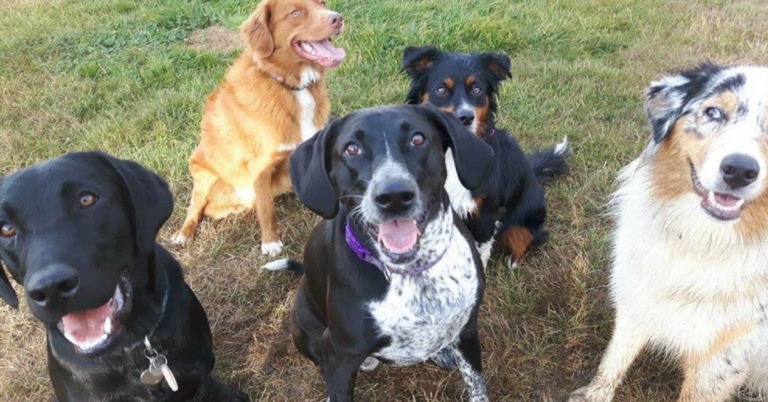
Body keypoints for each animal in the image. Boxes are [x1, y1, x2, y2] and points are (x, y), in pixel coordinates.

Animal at [171, 0, 346, 256]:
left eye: (322, 3)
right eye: (295, 12)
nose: (338, 18)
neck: (290, 86)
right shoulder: (260, 166)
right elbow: (266, 209)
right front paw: (270, 242)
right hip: (203, 174)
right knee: (194, 207)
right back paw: (184, 234)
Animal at [264, 104, 495, 401]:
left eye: (418, 139)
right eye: (351, 148)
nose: (394, 196)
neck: (413, 273)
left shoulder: (467, 331)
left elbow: (477, 386)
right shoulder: (340, 357)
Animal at [401, 46, 569, 267]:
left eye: (477, 90)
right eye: (441, 90)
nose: (465, 118)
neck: (452, 155)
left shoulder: (485, 215)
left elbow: (478, 255)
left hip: (526, 215)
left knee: (528, 235)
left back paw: (513, 259)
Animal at [569, 63, 768, 402]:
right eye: (713, 112)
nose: (740, 170)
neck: (700, 241)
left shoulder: (722, 360)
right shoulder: (638, 297)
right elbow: (613, 360)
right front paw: (596, 394)